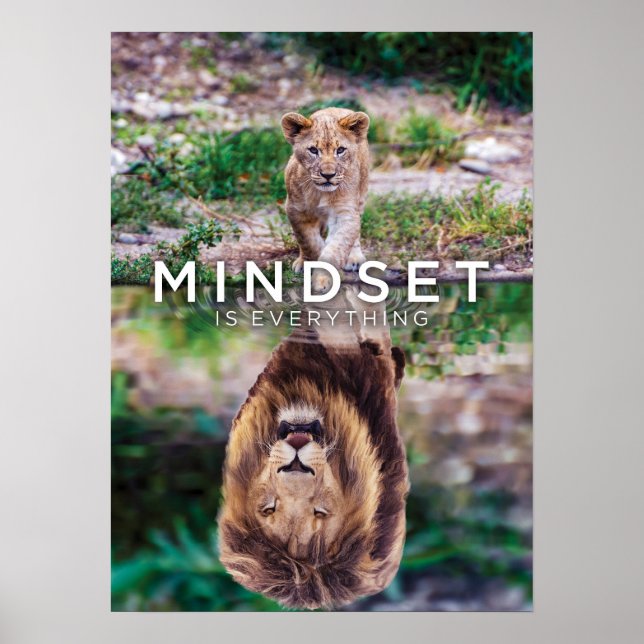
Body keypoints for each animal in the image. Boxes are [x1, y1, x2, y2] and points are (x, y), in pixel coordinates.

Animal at [281, 107, 371, 294]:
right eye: (313, 150)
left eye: (340, 150)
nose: (328, 175)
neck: (320, 193)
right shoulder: (295, 209)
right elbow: (308, 241)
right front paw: (311, 258)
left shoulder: (346, 213)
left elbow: (338, 246)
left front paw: (322, 279)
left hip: (361, 194)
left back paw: (354, 258)